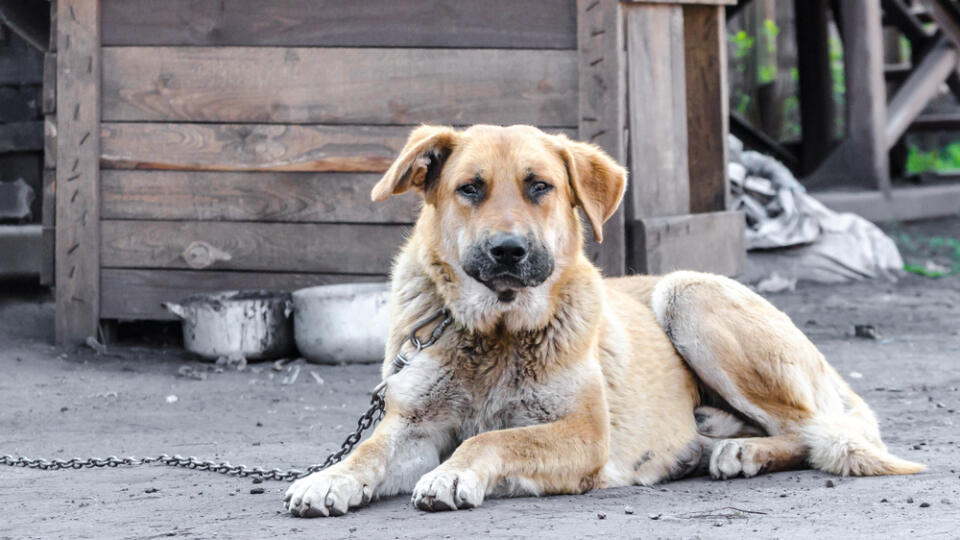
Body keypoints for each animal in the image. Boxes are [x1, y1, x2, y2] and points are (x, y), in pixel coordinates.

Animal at [284, 124, 924, 516]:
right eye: (470, 189)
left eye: (539, 186)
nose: (508, 251)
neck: (496, 333)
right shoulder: (414, 425)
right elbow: (368, 451)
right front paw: (329, 477)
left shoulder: (584, 433)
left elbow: (495, 436)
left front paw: (452, 474)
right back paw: (713, 440)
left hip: (687, 292)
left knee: (814, 432)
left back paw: (742, 452)